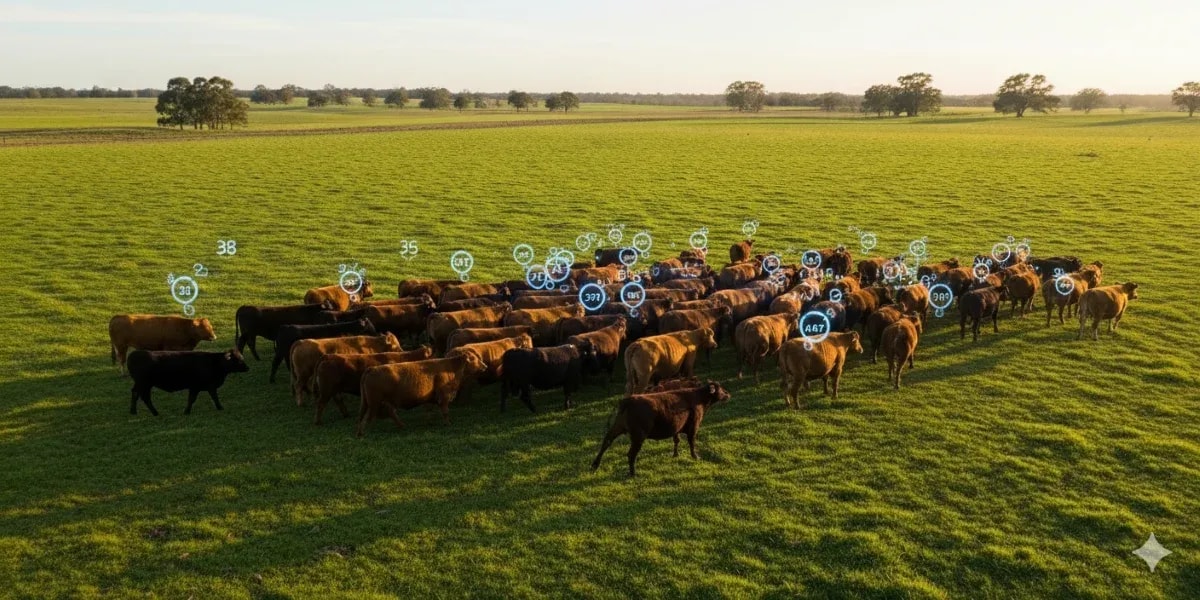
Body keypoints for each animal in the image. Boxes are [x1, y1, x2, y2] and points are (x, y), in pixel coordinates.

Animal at [356, 353, 488, 436]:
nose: (485, 366)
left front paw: (428, 422)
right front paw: (448, 424)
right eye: (474, 359)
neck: (452, 368)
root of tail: (372, 369)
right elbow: (445, 411)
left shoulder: (431, 399)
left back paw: (402, 426)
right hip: (374, 403)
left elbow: (428, 410)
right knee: (368, 417)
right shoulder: (444, 396)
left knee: (390, 414)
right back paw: (362, 433)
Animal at [591, 381, 731, 477]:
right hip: (638, 436)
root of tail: (629, 400)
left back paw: (595, 465)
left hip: (618, 427)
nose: (728, 394)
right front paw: (695, 456)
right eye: (720, 389)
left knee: (607, 441)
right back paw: (633, 473)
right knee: (631, 453)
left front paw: (675, 455)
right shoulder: (693, 427)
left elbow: (676, 440)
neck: (699, 397)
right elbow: (691, 442)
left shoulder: (676, 428)